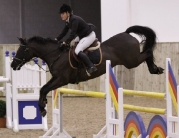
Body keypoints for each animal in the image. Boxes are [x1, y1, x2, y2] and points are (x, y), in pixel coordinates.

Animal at [10, 25, 164, 116]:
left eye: (23, 50)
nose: (12, 65)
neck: (56, 54)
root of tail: (126, 34)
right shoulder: (57, 79)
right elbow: (44, 88)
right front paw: (43, 105)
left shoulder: (61, 79)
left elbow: (44, 88)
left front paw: (42, 108)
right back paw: (156, 69)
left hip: (131, 61)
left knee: (148, 52)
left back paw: (156, 69)